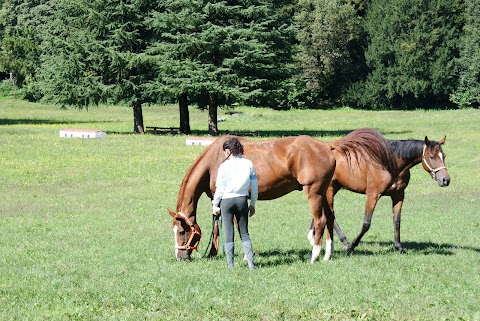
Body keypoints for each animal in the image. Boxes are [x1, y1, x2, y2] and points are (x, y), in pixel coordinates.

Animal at [167, 135, 336, 262]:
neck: (214, 160)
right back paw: (327, 255)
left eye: (181, 232)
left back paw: (314, 256)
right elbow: (216, 227)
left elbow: (235, 227)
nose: (180, 257)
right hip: (324, 193)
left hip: (314, 193)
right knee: (330, 218)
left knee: (320, 221)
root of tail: (327, 147)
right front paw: (212, 253)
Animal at [308, 127, 450, 252]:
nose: (446, 180)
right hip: (330, 190)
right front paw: (351, 246)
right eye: (431, 157)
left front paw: (399, 246)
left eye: (443, 156)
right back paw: (344, 242)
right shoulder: (372, 195)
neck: (390, 163)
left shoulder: (398, 195)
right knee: (330, 215)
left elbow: (397, 221)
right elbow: (366, 223)